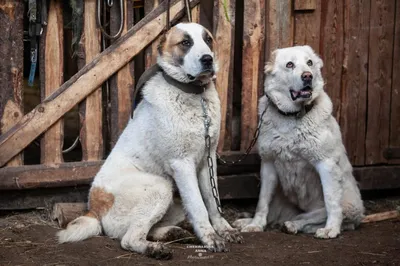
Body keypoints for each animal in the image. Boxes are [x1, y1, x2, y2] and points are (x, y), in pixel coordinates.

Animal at [57, 21, 241, 258]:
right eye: (185, 42)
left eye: (208, 39)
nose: (207, 59)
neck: (195, 96)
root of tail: (94, 209)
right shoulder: (182, 165)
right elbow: (199, 206)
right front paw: (211, 238)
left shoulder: (207, 161)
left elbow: (212, 201)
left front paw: (225, 230)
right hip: (160, 188)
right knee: (129, 239)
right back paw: (155, 249)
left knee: (148, 229)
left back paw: (173, 233)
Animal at [234, 45, 366, 239]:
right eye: (290, 64)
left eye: (309, 63)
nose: (307, 76)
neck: (292, 117)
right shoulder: (268, 164)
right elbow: (262, 202)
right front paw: (255, 225)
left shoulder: (326, 164)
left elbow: (331, 202)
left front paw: (331, 229)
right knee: (279, 216)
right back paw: (251, 221)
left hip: (345, 206)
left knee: (310, 218)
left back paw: (294, 226)